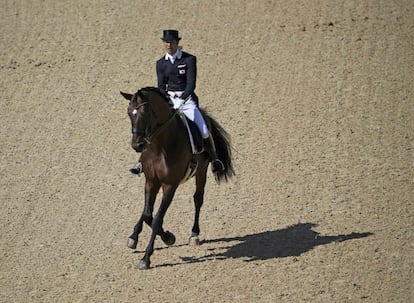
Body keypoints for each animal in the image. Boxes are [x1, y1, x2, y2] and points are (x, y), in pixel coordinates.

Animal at [121, 86, 234, 270]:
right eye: (130, 113)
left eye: (144, 113)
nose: (137, 145)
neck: (159, 146)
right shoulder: (151, 181)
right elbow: (147, 214)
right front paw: (161, 237)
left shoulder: (169, 186)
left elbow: (157, 218)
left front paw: (147, 257)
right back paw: (134, 236)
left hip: (202, 171)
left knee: (198, 199)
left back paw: (194, 235)